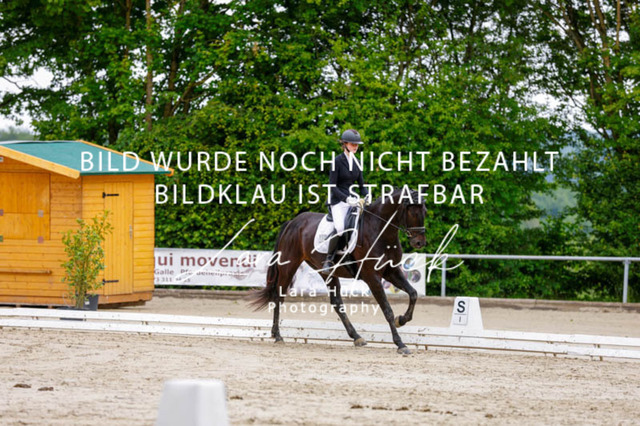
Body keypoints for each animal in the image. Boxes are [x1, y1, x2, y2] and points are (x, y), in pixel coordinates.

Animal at [249, 187, 426, 355]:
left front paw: (401, 319)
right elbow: (387, 310)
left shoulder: (391, 271)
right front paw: (400, 344)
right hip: (288, 266)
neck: (380, 231)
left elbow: (413, 294)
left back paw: (357, 337)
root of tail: (293, 221)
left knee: (336, 302)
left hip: (326, 272)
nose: (419, 243)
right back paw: (277, 335)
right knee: (278, 297)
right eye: (412, 211)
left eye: (424, 211)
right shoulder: (372, 277)